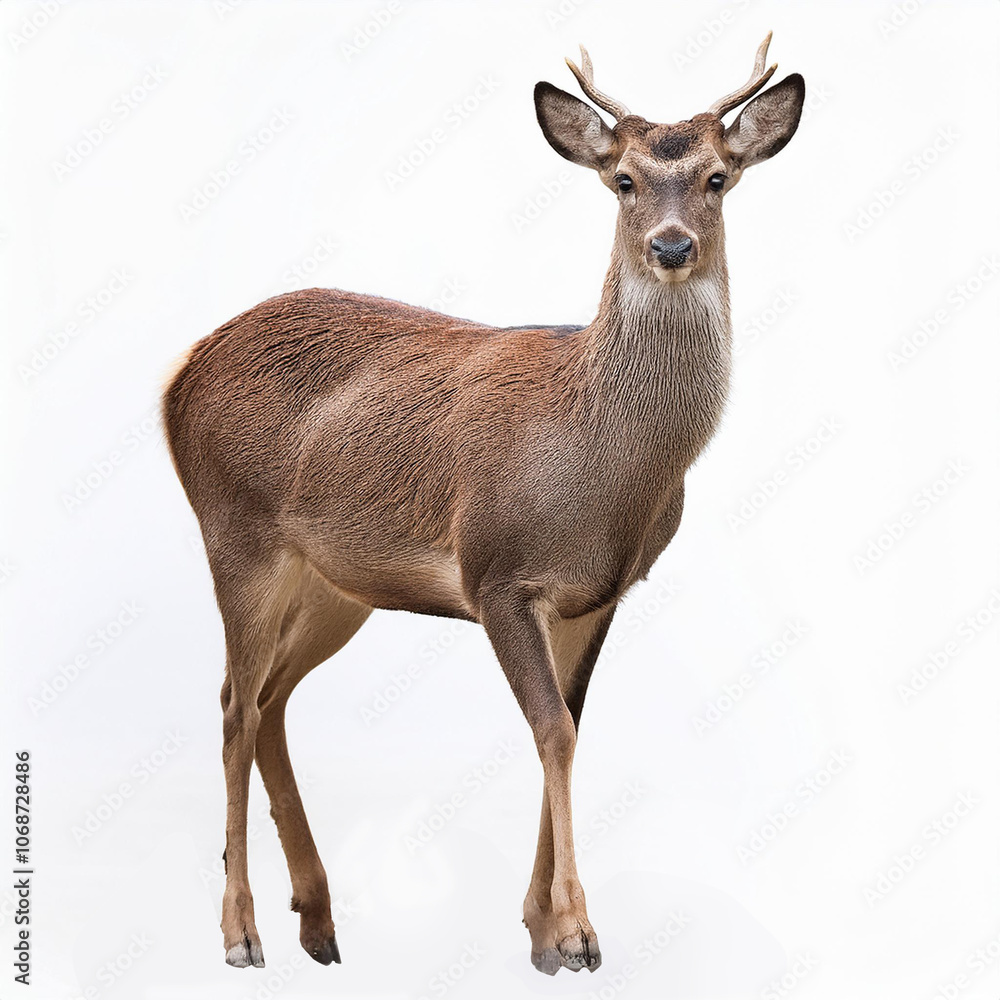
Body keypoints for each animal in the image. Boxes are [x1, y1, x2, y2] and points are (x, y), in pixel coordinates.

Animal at [162, 33, 804, 977]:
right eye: (623, 180)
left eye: (719, 176)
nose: (672, 244)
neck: (607, 471)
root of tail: (178, 377)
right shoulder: (496, 571)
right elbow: (552, 729)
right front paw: (576, 933)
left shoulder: (601, 594)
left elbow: (570, 724)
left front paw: (540, 930)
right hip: (233, 531)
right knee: (233, 708)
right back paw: (241, 933)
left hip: (336, 583)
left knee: (270, 700)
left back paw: (318, 921)